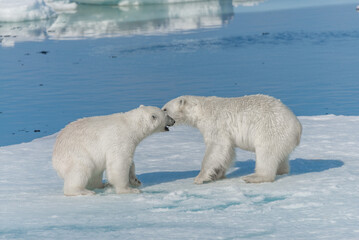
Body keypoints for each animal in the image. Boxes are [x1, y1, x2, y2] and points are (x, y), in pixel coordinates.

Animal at [162, 94, 300, 184]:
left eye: (165, 109)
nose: (167, 120)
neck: (201, 110)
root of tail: (298, 126)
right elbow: (227, 152)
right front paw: (216, 174)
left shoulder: (216, 124)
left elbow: (216, 147)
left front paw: (200, 177)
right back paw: (281, 171)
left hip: (270, 129)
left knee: (266, 154)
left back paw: (253, 177)